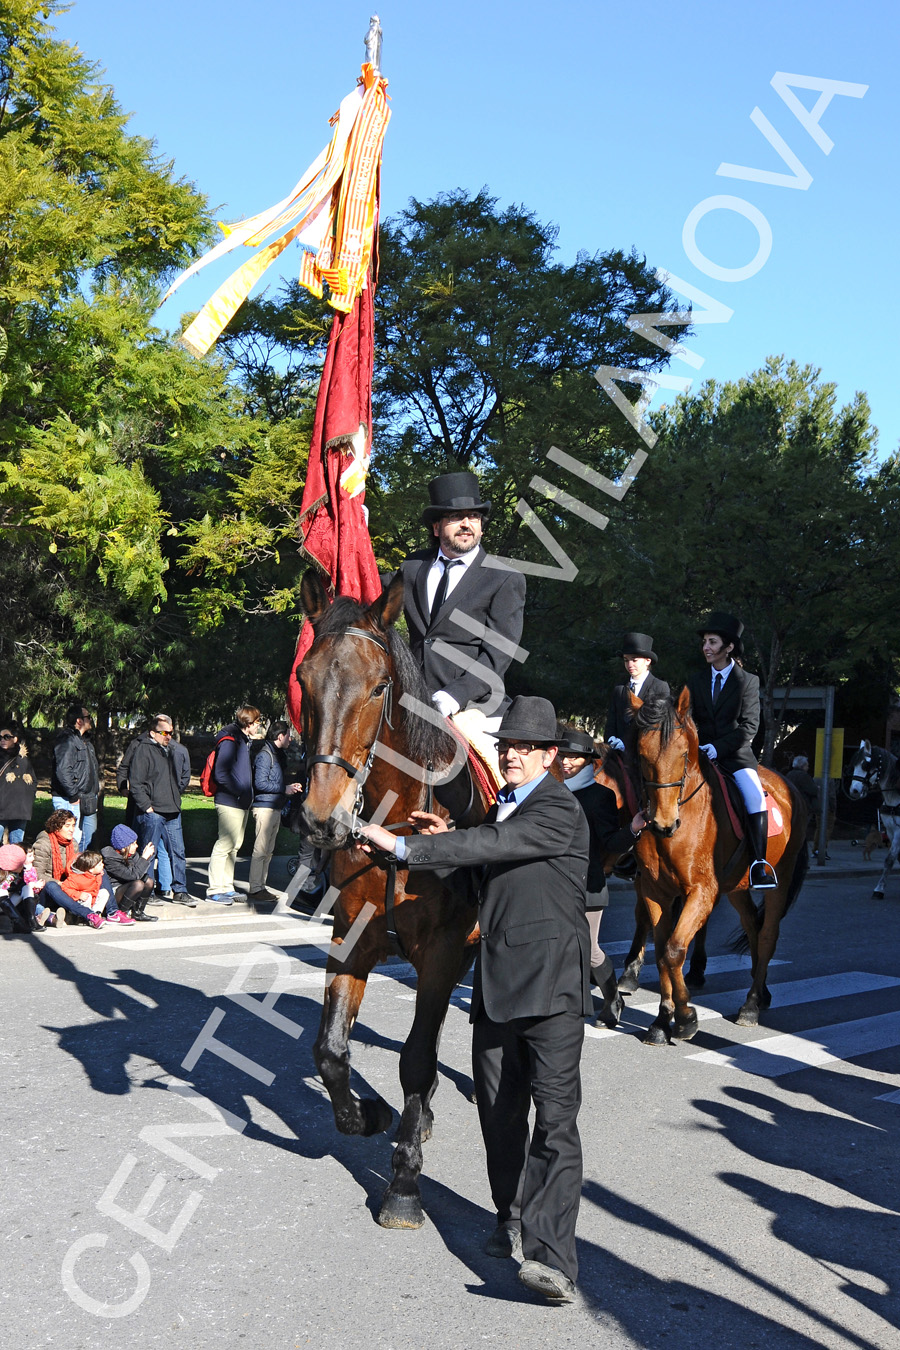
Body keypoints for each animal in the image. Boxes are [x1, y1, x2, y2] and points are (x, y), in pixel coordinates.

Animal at [299, 572, 488, 1236]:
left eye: (379, 685)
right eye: (304, 680)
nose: (322, 818)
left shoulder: (442, 950)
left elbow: (417, 1058)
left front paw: (404, 1183)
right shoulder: (351, 936)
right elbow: (331, 1051)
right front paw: (369, 1115)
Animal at [626, 685, 809, 1042]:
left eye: (684, 753)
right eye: (641, 755)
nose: (663, 823)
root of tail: (790, 787)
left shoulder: (701, 892)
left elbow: (674, 950)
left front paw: (685, 1018)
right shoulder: (655, 891)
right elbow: (662, 953)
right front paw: (661, 1021)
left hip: (779, 878)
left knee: (768, 933)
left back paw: (750, 1005)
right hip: (737, 886)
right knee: (753, 925)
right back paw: (762, 992)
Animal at [847, 745, 895, 901]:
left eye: (865, 765)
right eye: (853, 765)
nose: (854, 790)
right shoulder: (892, 831)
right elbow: (890, 859)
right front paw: (879, 889)